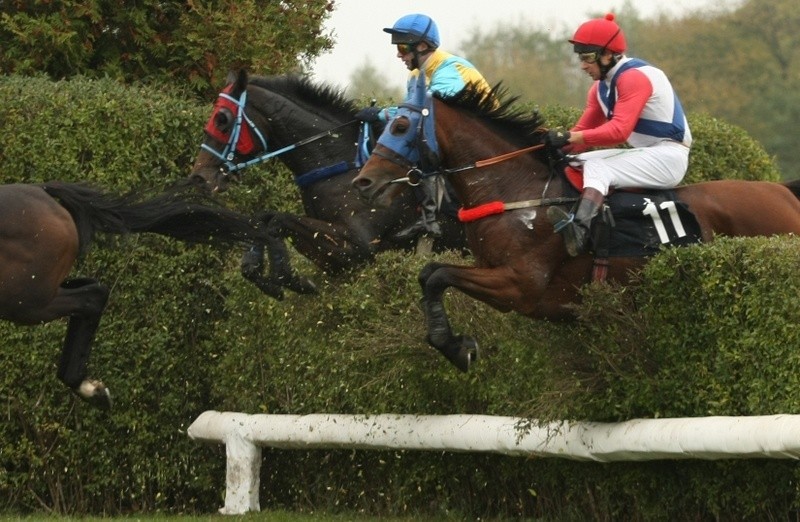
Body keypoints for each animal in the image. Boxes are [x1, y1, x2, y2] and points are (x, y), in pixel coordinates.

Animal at [190, 68, 466, 300]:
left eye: (221, 119)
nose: (199, 177)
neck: (339, 163)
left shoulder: (360, 246)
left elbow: (279, 220)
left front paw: (291, 280)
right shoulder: (336, 261)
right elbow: (265, 220)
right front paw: (261, 273)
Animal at [354, 73, 800, 372]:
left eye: (400, 126)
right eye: (384, 125)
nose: (363, 182)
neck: (518, 192)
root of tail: (783, 192)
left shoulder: (520, 287)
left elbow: (438, 275)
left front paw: (457, 347)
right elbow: (429, 274)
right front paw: (453, 344)